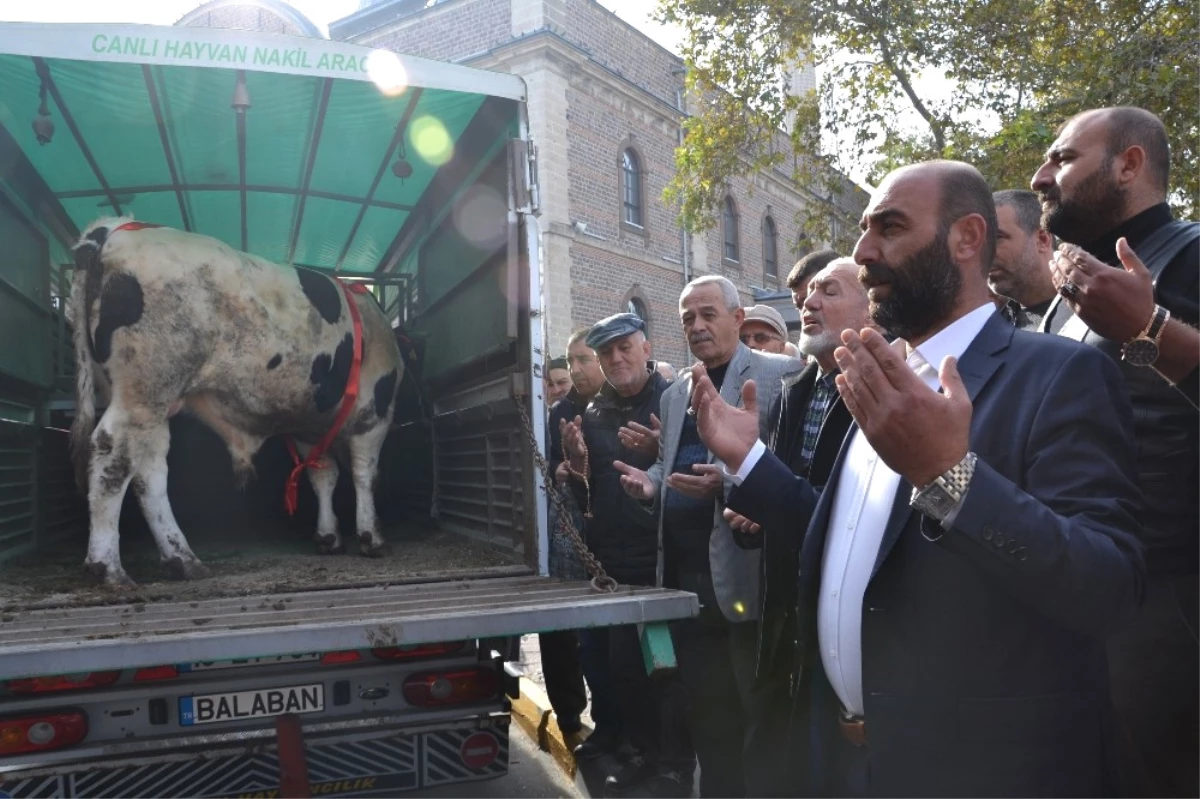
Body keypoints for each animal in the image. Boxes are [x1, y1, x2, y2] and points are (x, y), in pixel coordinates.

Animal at [66, 218, 403, 585]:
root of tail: (114, 228)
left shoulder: (309, 427)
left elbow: (323, 477)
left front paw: (329, 537)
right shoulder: (374, 413)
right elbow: (364, 474)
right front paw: (372, 537)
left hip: (146, 397)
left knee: (148, 471)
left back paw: (182, 558)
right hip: (146, 387)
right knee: (113, 453)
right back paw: (107, 566)